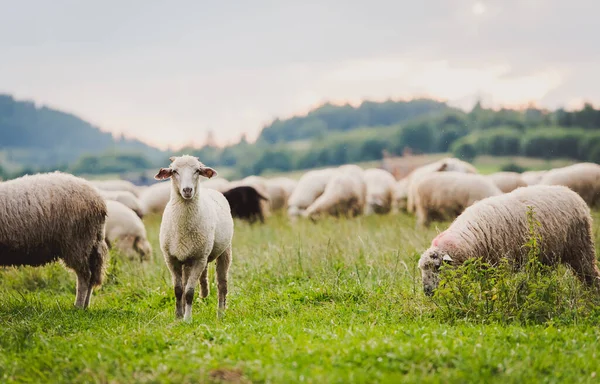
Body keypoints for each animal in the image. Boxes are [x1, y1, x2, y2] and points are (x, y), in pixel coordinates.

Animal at [0, 172, 109, 308]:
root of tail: (99, 199)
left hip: (78, 242)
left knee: (85, 277)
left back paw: (78, 306)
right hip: (92, 243)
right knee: (92, 277)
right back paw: (85, 306)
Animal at [155, 155, 234, 320]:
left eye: (197, 170)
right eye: (174, 171)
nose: (187, 190)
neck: (182, 229)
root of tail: (210, 189)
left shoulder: (200, 259)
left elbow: (189, 292)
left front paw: (187, 319)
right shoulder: (171, 259)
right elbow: (179, 290)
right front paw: (178, 317)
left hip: (224, 251)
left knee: (222, 285)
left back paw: (220, 313)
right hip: (187, 259)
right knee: (185, 284)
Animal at [418, 184, 600, 296]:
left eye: (437, 267)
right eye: (422, 269)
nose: (427, 291)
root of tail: (571, 192)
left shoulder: (502, 264)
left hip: (581, 246)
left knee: (589, 273)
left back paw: (592, 295)